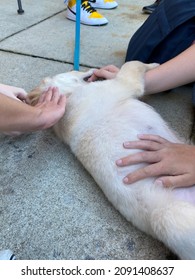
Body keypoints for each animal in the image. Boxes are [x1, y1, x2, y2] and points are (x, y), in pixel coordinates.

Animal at [29, 61, 195, 260]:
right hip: (168, 218)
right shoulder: (124, 83)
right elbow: (132, 64)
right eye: (73, 70)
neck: (67, 96)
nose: (95, 70)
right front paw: (153, 64)